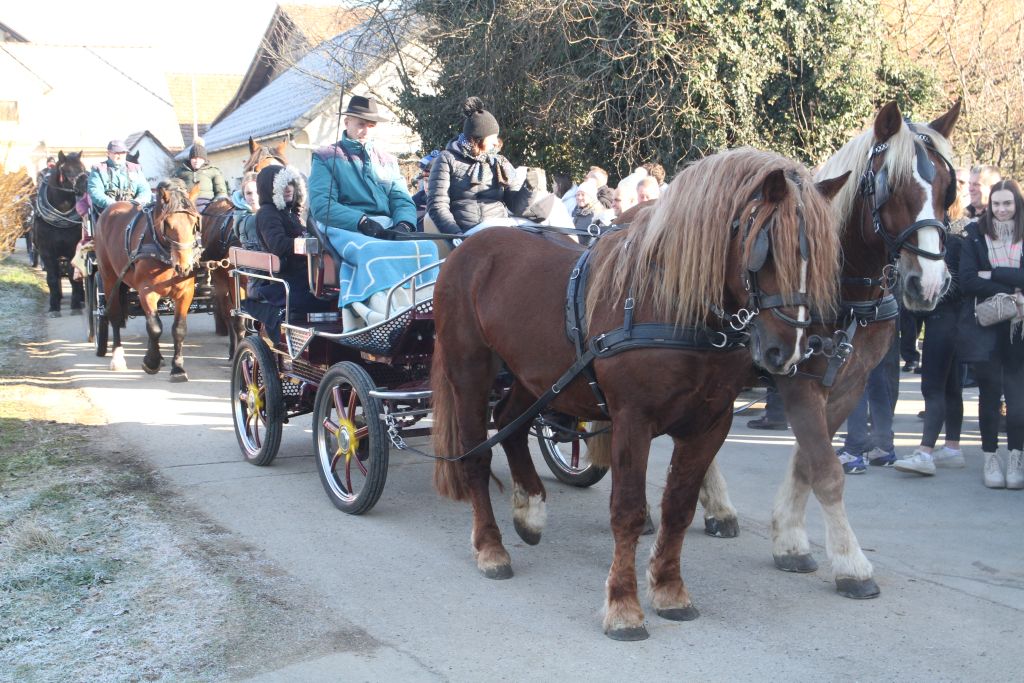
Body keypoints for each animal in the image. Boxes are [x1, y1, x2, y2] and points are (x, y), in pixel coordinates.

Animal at [94, 179, 203, 382]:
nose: (184, 267)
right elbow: (154, 327)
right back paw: (117, 357)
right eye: (167, 224)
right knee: (114, 315)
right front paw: (151, 362)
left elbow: (179, 329)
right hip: (109, 277)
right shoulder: (147, 291)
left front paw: (177, 368)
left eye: (195, 224)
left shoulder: (186, 292)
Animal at [432, 148, 847, 643]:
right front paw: (624, 606)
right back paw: (491, 548)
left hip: (534, 377)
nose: (789, 352)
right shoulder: (633, 419)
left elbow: (679, 508)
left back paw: (529, 509)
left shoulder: (711, 423)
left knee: (511, 427)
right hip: (470, 372)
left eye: (823, 258)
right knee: (476, 455)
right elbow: (628, 510)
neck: (673, 306)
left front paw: (669, 591)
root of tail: (472, 247)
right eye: (766, 249)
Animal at [700, 100, 962, 598]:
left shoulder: (849, 384)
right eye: (892, 186)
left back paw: (716, 507)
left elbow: (809, 462)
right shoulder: (796, 379)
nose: (928, 283)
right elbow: (826, 468)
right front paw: (850, 562)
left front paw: (789, 538)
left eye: (946, 188)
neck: (845, 292)